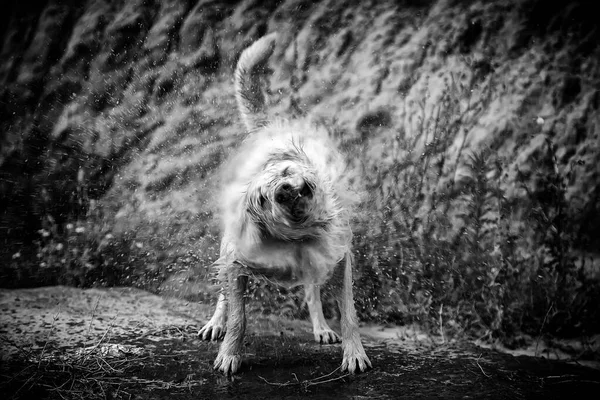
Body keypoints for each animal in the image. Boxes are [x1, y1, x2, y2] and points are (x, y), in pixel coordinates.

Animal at [199, 32, 372, 376]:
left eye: (286, 172)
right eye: (262, 199)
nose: (285, 191)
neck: (297, 238)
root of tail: (267, 129)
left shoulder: (340, 256)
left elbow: (348, 313)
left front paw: (354, 353)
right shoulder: (237, 262)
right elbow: (239, 316)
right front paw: (230, 353)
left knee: (312, 292)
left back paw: (321, 327)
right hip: (226, 247)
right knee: (223, 295)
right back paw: (216, 323)